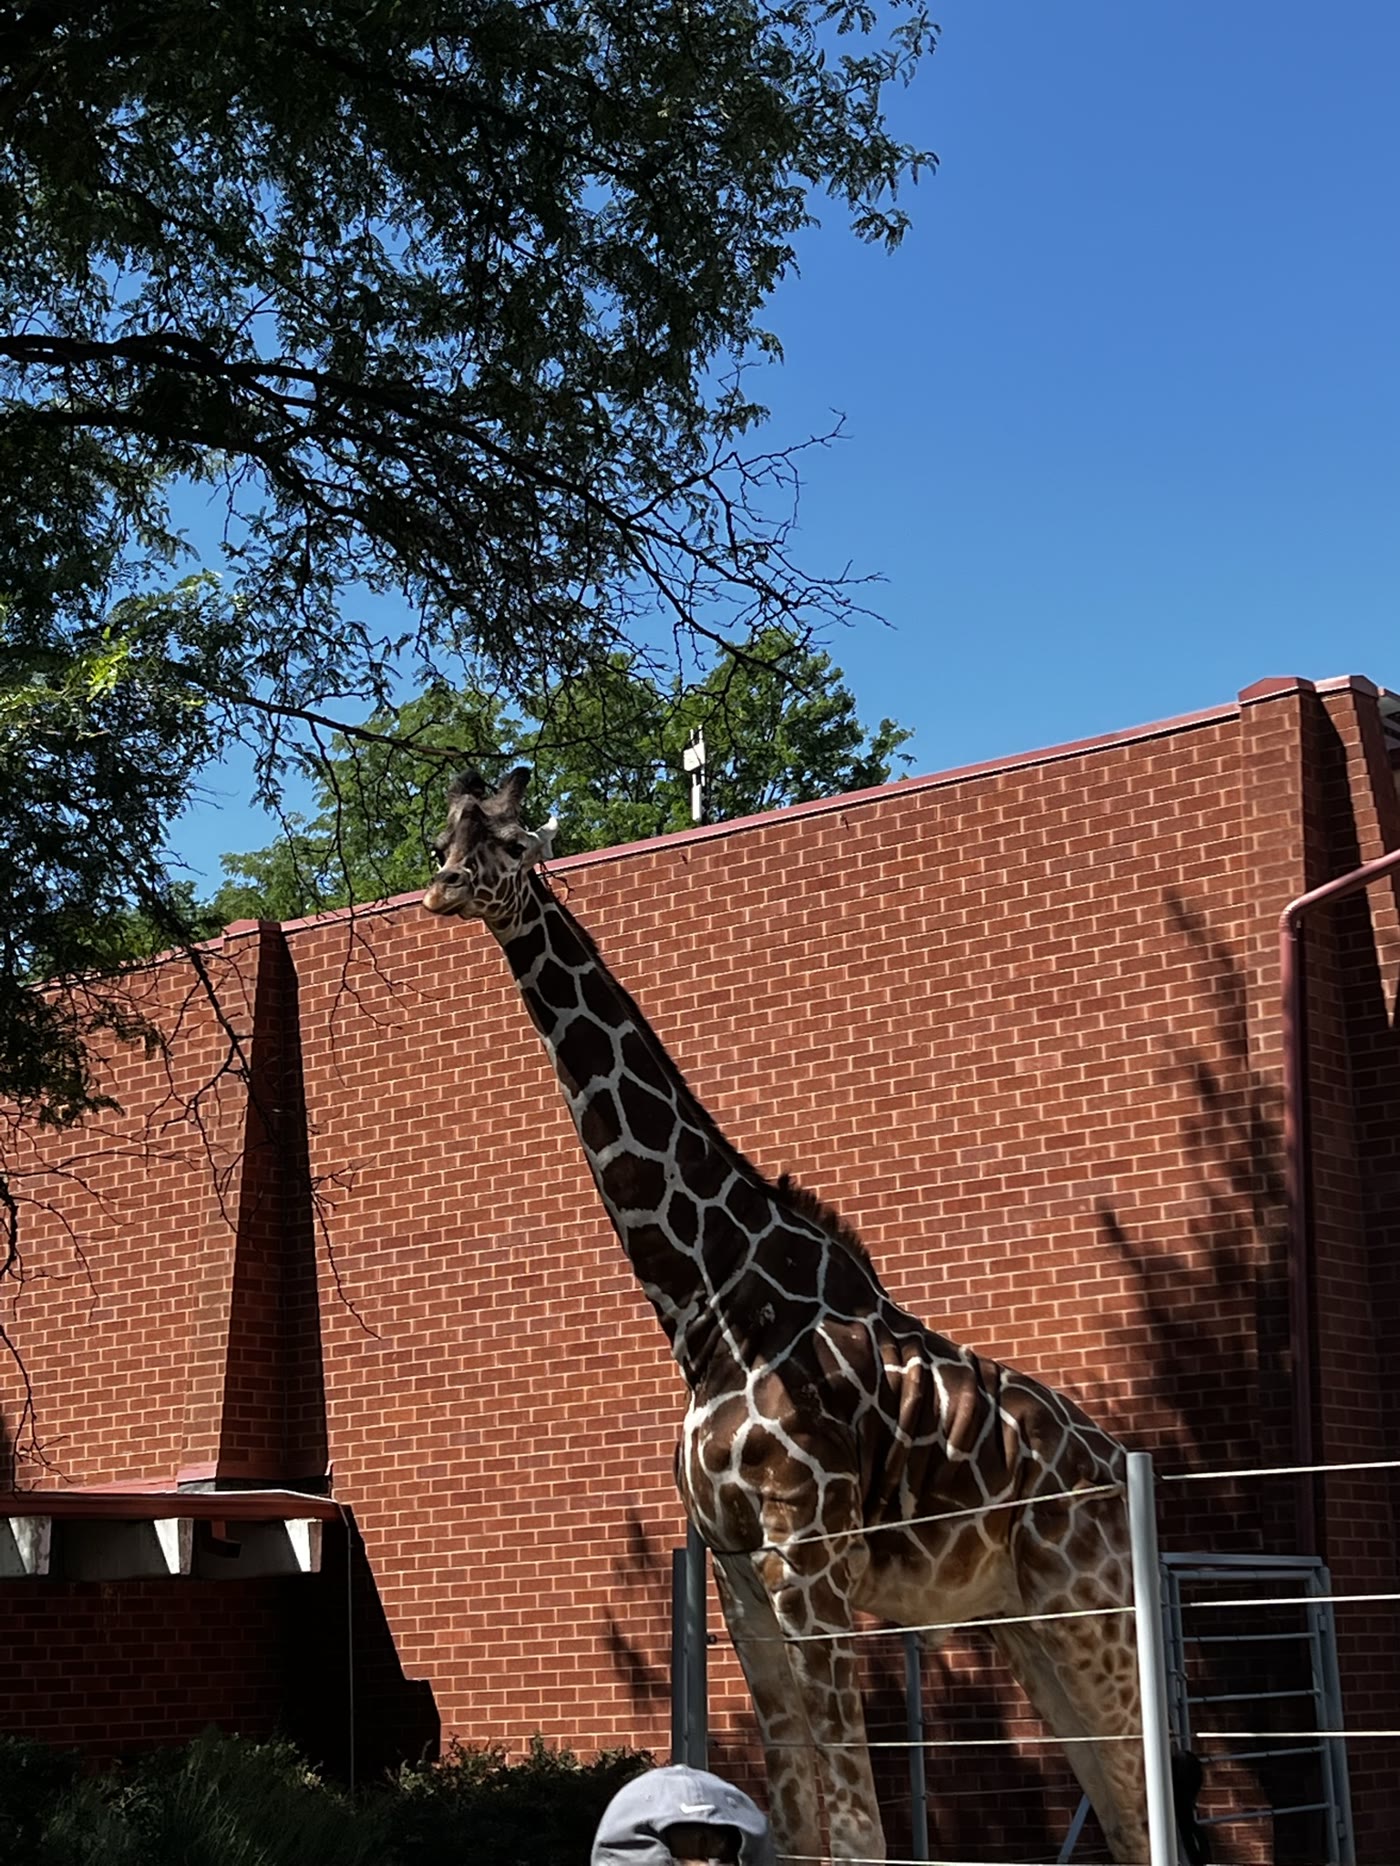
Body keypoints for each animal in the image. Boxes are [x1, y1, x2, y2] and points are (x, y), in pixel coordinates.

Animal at [423, 769, 1189, 1866]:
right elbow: (791, 1825)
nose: (442, 891)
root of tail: (1117, 1473)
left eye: (514, 843)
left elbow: (860, 1827)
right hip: (1025, 1623)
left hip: (1090, 1606)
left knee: (1152, 1805)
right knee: (1127, 1815)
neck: (710, 1300)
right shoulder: (742, 1580)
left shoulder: (810, 1565)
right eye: (445, 836)